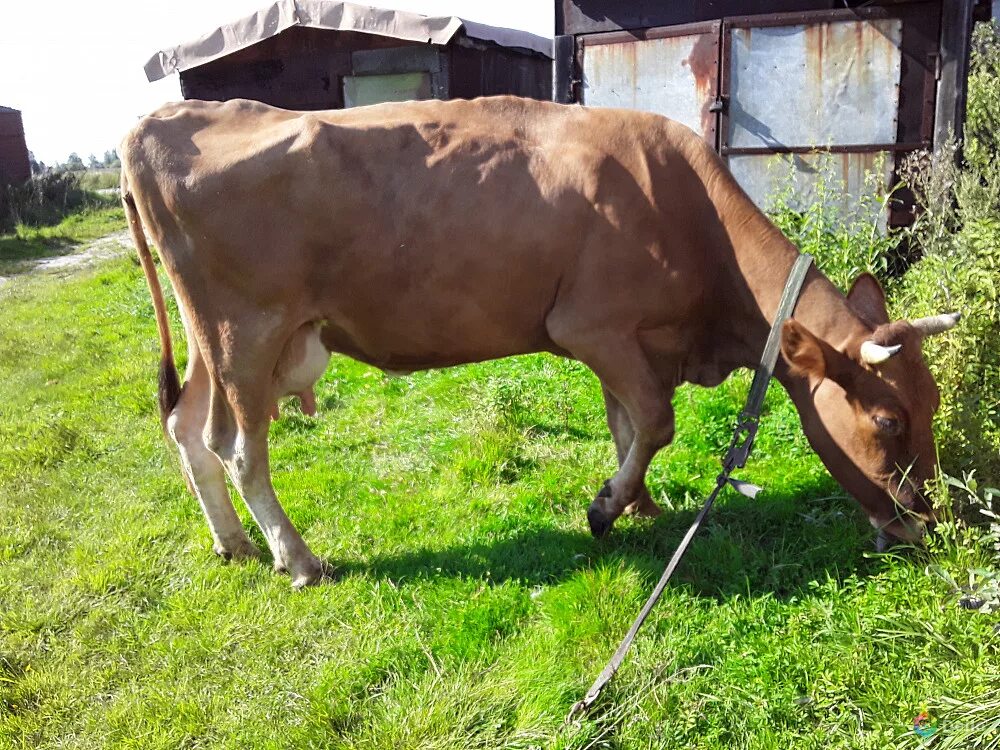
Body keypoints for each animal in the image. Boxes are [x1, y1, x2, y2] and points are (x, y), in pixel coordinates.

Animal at [121, 95, 956, 588]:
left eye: (935, 402)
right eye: (888, 421)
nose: (928, 522)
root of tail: (164, 115)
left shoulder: (631, 339)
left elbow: (627, 421)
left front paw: (638, 503)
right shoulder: (592, 326)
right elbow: (655, 420)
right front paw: (606, 507)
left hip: (216, 338)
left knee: (188, 427)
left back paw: (234, 545)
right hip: (247, 331)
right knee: (240, 448)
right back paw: (298, 559)